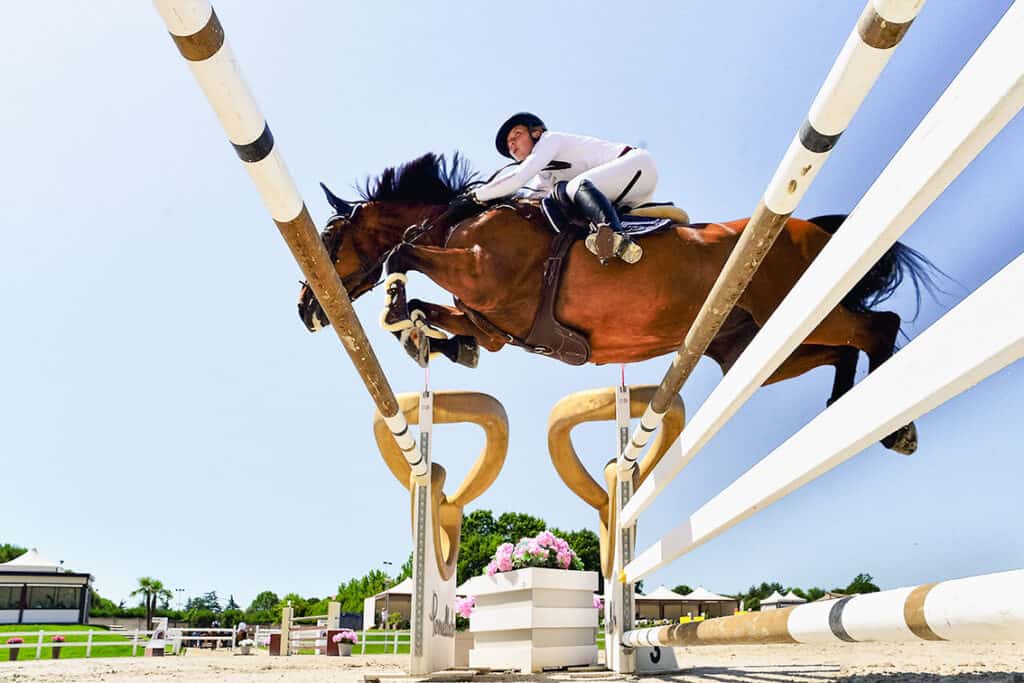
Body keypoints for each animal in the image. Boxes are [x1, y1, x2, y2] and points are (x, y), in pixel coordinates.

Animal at [296, 153, 937, 454]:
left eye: (328, 237)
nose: (306, 308)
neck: (456, 219)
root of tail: (813, 229)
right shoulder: (495, 322)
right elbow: (453, 325)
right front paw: (426, 337)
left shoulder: (483, 273)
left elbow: (402, 253)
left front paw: (397, 305)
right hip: (755, 345)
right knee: (843, 350)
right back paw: (847, 409)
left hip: (801, 305)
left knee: (880, 326)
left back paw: (896, 426)